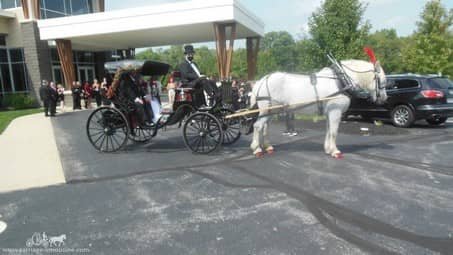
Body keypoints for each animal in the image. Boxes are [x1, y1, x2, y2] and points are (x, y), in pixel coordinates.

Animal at [249, 60, 386, 159]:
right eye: (382, 81)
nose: (385, 98)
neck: (341, 81)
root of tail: (262, 80)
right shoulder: (335, 112)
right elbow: (334, 132)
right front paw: (335, 151)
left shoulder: (329, 113)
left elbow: (328, 130)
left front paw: (328, 149)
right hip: (267, 110)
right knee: (257, 126)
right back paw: (257, 149)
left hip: (272, 111)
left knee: (265, 127)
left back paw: (267, 146)